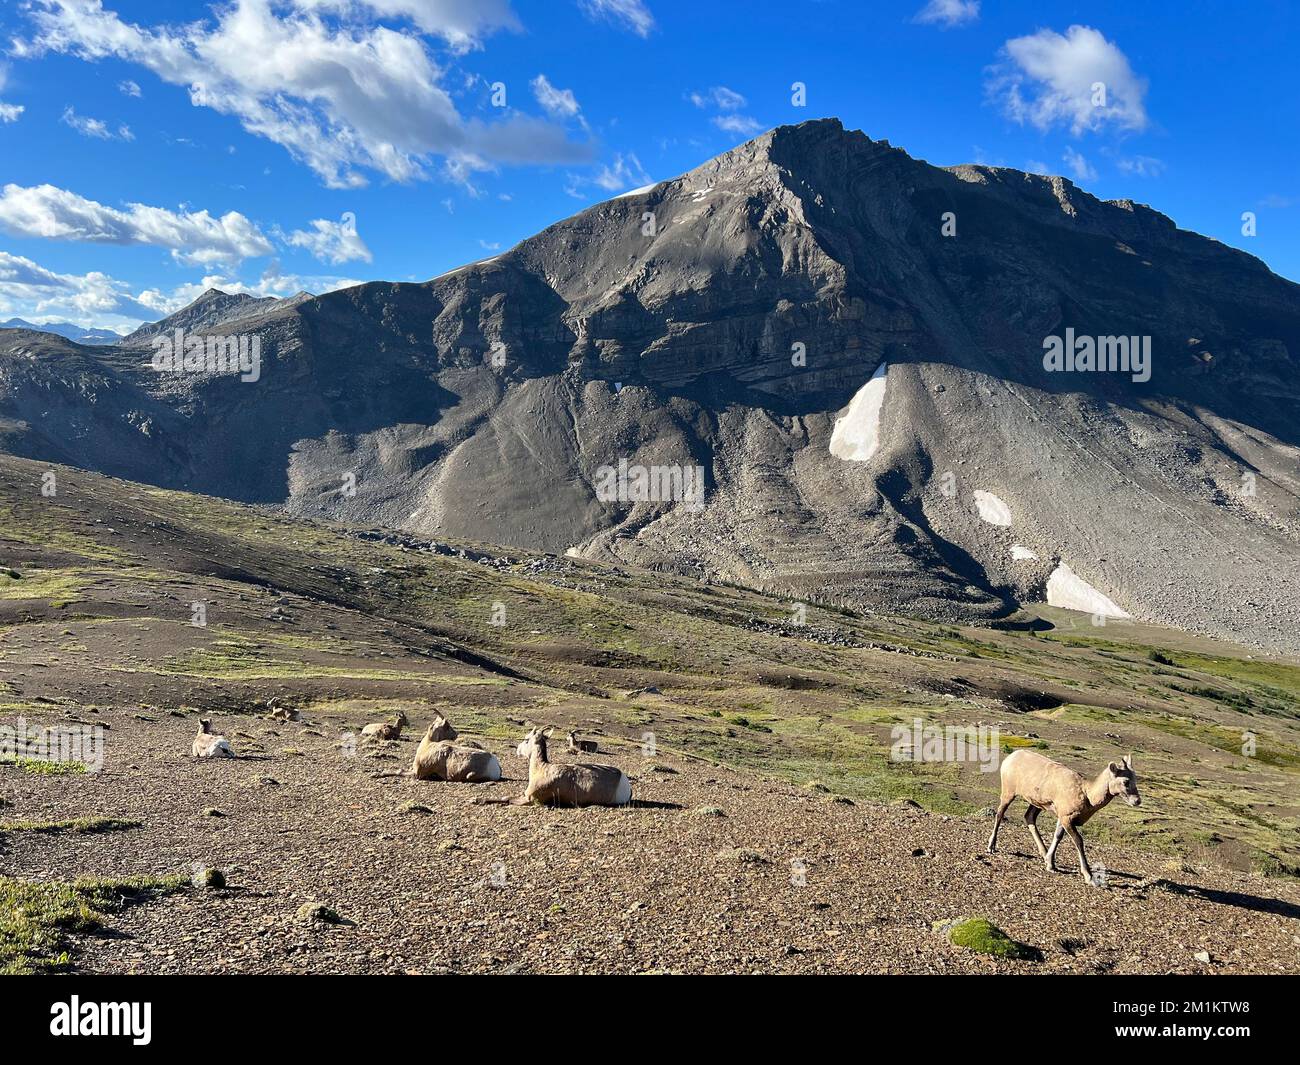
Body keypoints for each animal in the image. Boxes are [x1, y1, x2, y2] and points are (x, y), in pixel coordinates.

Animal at [987, 749, 1141, 884]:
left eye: (1135, 779)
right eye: (1125, 781)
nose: (1137, 801)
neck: (1087, 795)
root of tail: (1010, 758)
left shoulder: (1062, 817)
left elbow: (1058, 836)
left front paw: (1050, 864)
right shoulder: (1067, 818)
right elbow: (1078, 841)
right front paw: (1089, 876)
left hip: (1036, 804)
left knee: (1029, 817)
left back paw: (1043, 853)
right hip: (1008, 792)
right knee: (1000, 813)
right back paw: (991, 847)